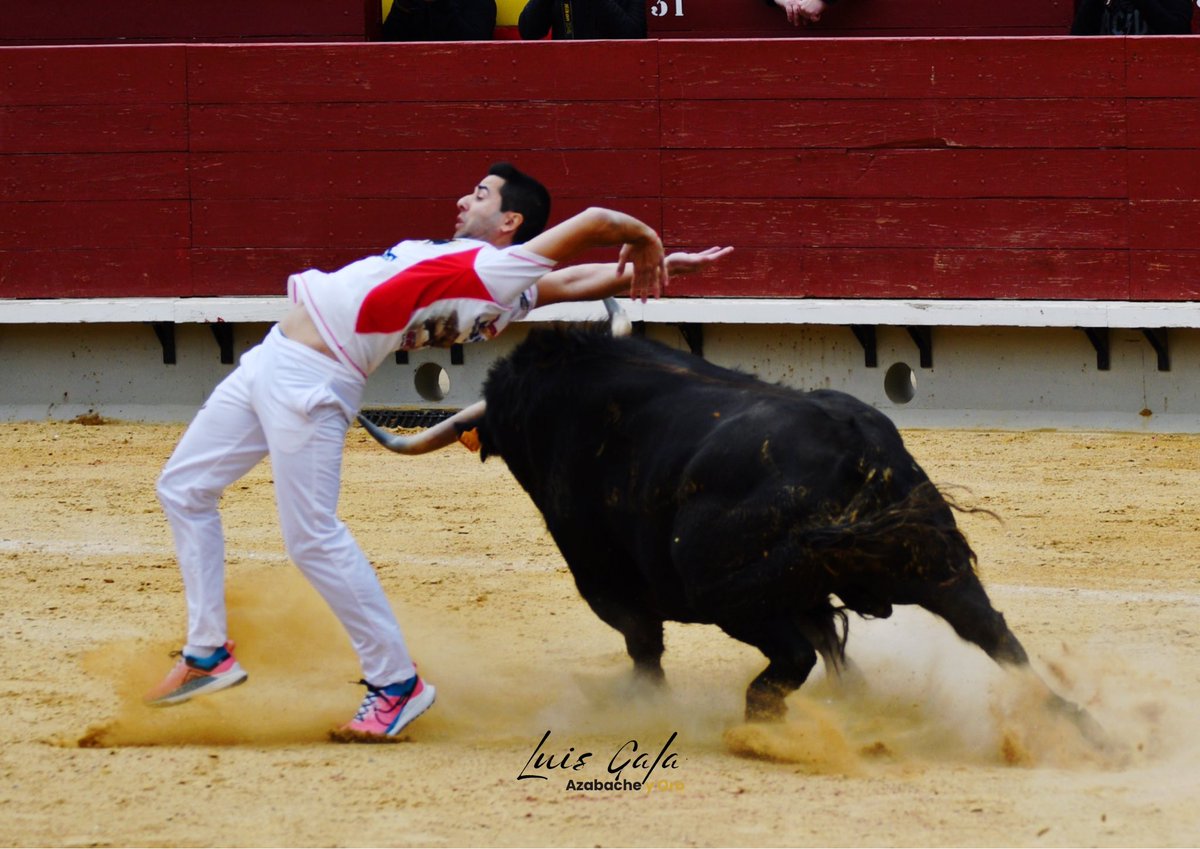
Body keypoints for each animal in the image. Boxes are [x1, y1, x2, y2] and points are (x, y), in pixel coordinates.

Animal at [360, 326, 1099, 733]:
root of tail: (855, 449)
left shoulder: (606, 584)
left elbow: (645, 648)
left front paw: (644, 706)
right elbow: (838, 649)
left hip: (729, 593)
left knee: (791, 658)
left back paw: (756, 728)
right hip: (937, 567)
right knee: (999, 639)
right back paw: (1087, 730)